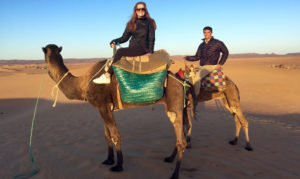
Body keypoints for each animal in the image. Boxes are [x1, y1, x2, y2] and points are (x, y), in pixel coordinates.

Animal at [41, 43, 188, 179]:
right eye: (48, 54)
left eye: (45, 55)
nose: (47, 67)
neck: (83, 84)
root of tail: (181, 81)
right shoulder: (104, 108)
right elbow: (108, 135)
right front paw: (109, 160)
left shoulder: (103, 106)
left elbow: (115, 135)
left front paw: (118, 166)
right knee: (181, 137)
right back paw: (169, 158)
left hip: (174, 105)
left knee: (181, 141)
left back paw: (174, 175)